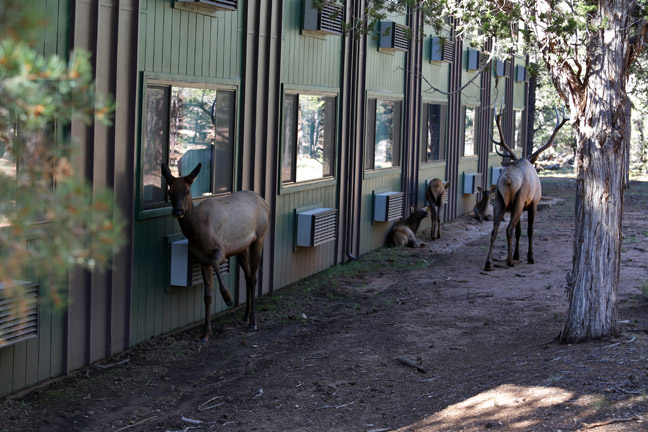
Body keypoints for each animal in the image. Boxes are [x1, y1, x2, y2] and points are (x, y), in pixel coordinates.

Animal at [161, 162, 270, 341]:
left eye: (187, 190)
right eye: (170, 192)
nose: (178, 211)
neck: (198, 231)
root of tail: (264, 202)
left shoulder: (220, 250)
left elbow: (216, 264)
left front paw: (228, 298)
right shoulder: (201, 258)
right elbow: (207, 296)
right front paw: (206, 332)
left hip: (260, 237)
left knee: (254, 277)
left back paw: (253, 322)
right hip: (242, 248)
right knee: (248, 276)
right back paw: (246, 317)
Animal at [484, 107, 568, 271]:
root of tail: (508, 179)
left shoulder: (521, 206)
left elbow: (519, 230)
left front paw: (518, 255)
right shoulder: (533, 203)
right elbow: (529, 230)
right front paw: (530, 257)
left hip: (499, 200)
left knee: (494, 230)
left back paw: (489, 262)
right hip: (519, 199)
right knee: (508, 229)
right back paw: (509, 261)